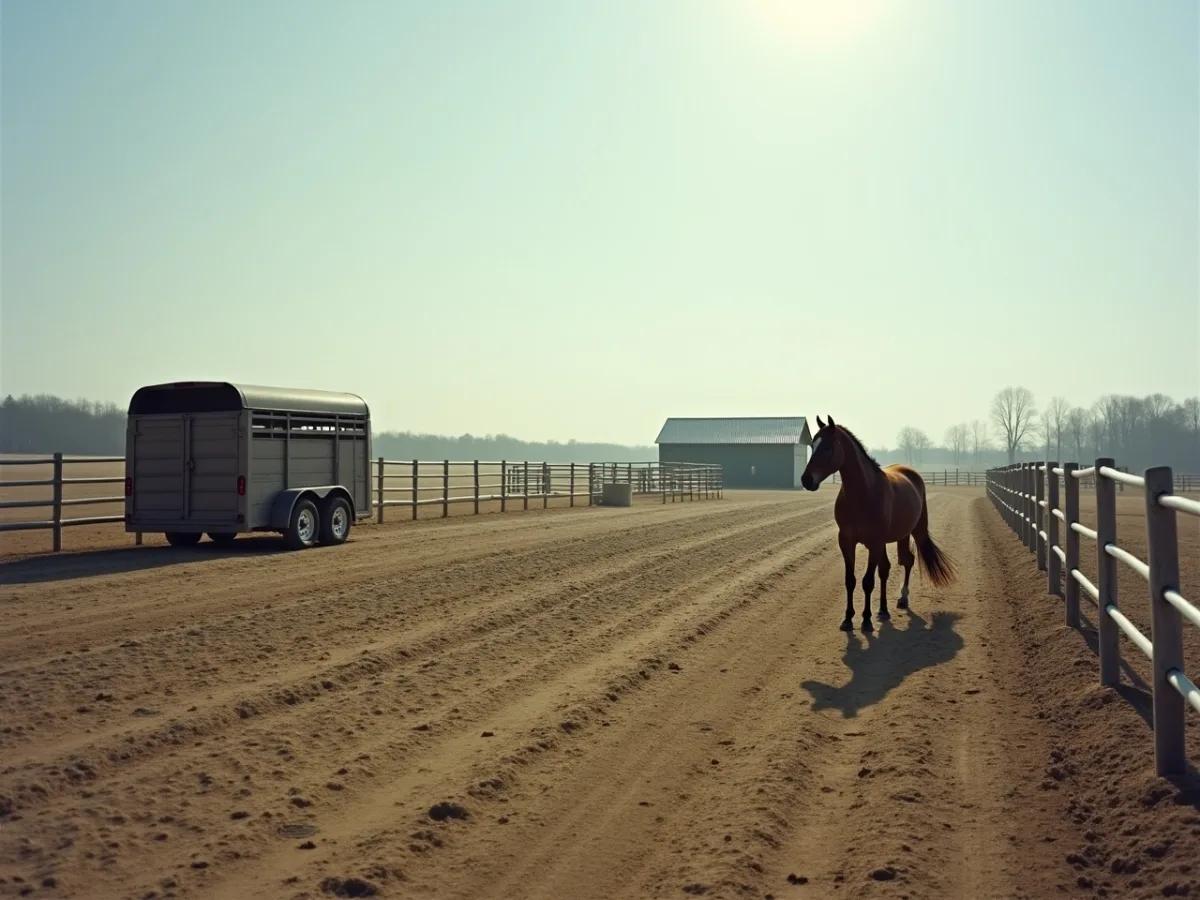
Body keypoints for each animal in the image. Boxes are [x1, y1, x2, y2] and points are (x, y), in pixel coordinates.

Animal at [799, 415, 957, 632]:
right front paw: (848, 619)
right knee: (890, 567)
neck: (864, 493)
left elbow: (867, 581)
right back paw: (883, 609)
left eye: (827, 447)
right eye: (813, 445)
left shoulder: (874, 543)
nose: (806, 480)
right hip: (898, 537)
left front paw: (866, 620)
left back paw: (902, 599)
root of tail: (911, 473)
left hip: (915, 531)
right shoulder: (847, 541)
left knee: (905, 562)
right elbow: (851, 580)